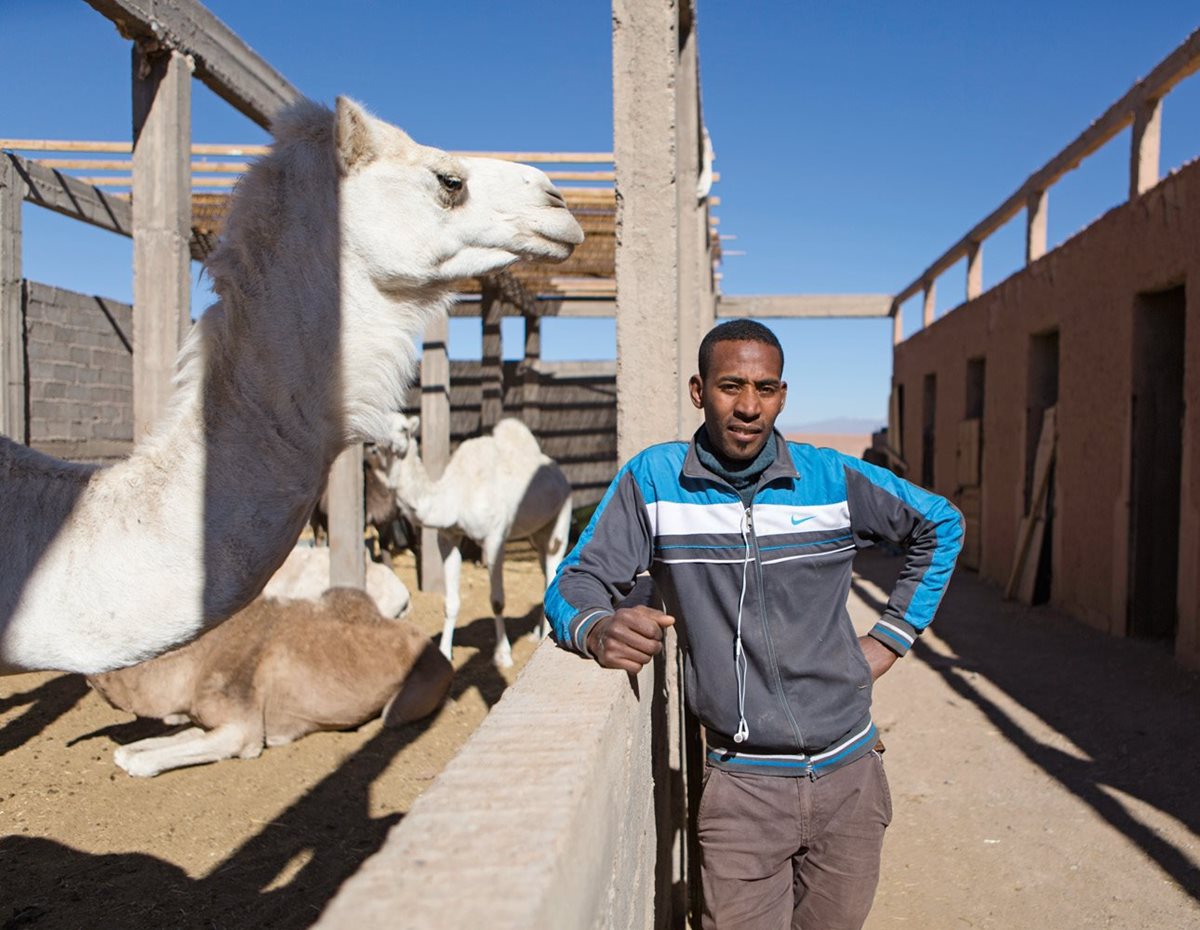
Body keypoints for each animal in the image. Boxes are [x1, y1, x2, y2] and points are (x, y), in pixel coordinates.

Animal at [87, 590, 453, 777]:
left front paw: (135, 760)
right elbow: (154, 743)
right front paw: (127, 750)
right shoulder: (211, 716)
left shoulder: (243, 730)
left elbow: (147, 761)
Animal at [386, 417, 568, 667]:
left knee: (553, 563)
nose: (377, 445)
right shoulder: (448, 536)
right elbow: (450, 601)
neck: (456, 494)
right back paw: (536, 633)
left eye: (403, 428)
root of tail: (560, 474)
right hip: (537, 533)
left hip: (560, 518)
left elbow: (497, 601)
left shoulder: (495, 537)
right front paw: (444, 653)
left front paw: (502, 655)